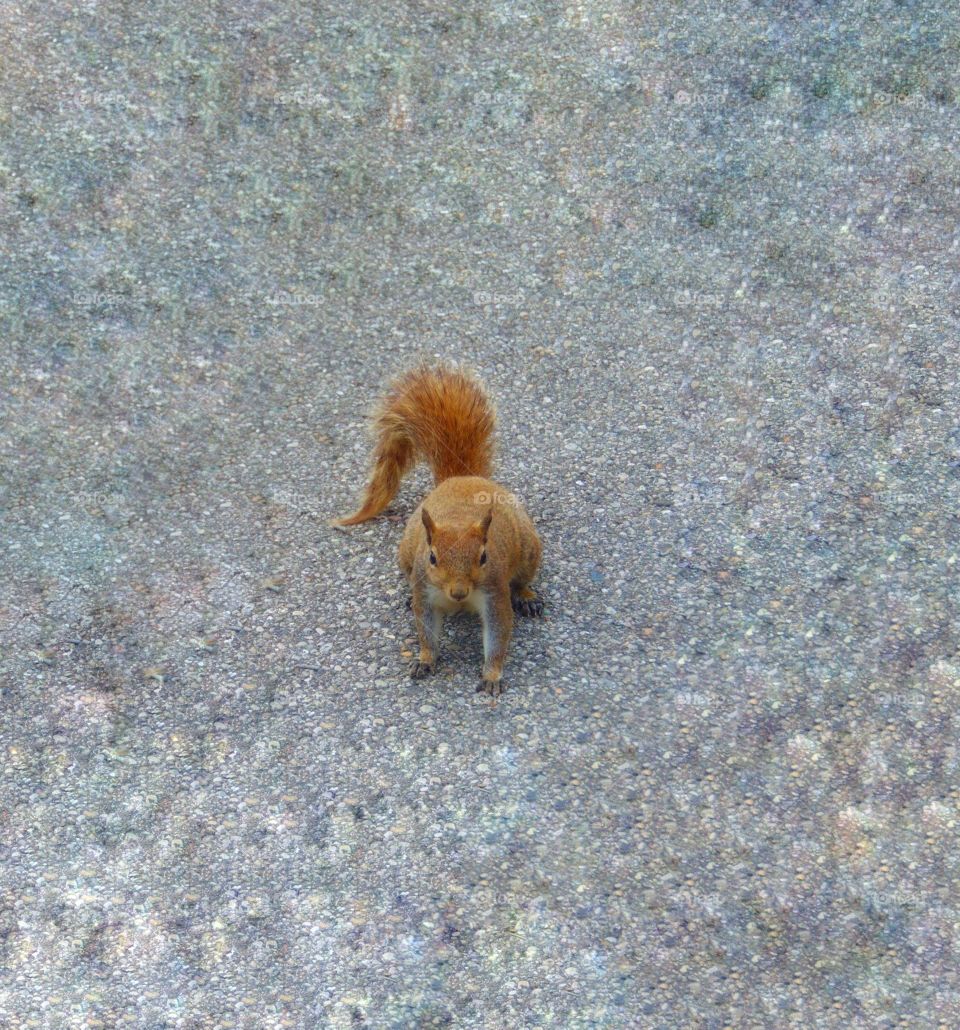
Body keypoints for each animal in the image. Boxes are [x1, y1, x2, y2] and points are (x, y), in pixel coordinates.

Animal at [336, 363, 543, 697]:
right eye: (432, 558)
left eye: (484, 557)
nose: (458, 592)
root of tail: (462, 477)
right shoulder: (427, 590)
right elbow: (426, 629)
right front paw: (425, 659)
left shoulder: (494, 591)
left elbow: (498, 634)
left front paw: (492, 675)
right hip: (406, 552)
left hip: (528, 550)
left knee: (523, 579)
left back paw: (527, 596)